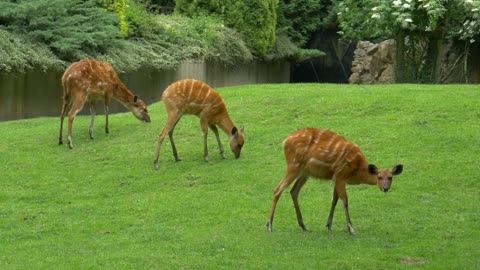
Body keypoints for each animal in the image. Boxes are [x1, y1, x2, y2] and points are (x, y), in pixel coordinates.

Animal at [268, 127, 404, 235]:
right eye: (379, 177)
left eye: (390, 177)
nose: (385, 188)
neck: (357, 171)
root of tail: (285, 141)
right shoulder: (341, 175)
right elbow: (344, 200)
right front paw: (351, 229)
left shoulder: (336, 177)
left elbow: (334, 199)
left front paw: (329, 225)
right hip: (294, 165)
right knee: (278, 189)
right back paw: (269, 226)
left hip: (305, 172)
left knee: (293, 191)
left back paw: (303, 226)